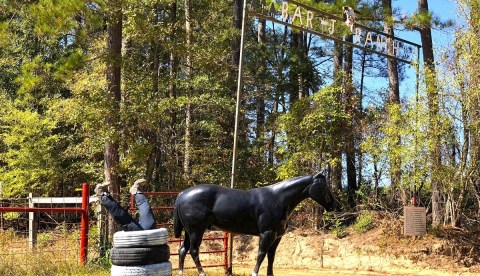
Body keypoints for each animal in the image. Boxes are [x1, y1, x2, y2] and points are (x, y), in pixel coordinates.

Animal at [173, 174, 338, 274]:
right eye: (323, 187)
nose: (335, 205)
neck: (278, 199)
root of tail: (182, 195)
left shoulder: (277, 236)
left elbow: (271, 256)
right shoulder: (267, 233)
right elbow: (261, 254)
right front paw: (255, 272)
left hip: (189, 231)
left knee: (182, 250)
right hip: (196, 231)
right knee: (193, 250)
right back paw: (202, 272)